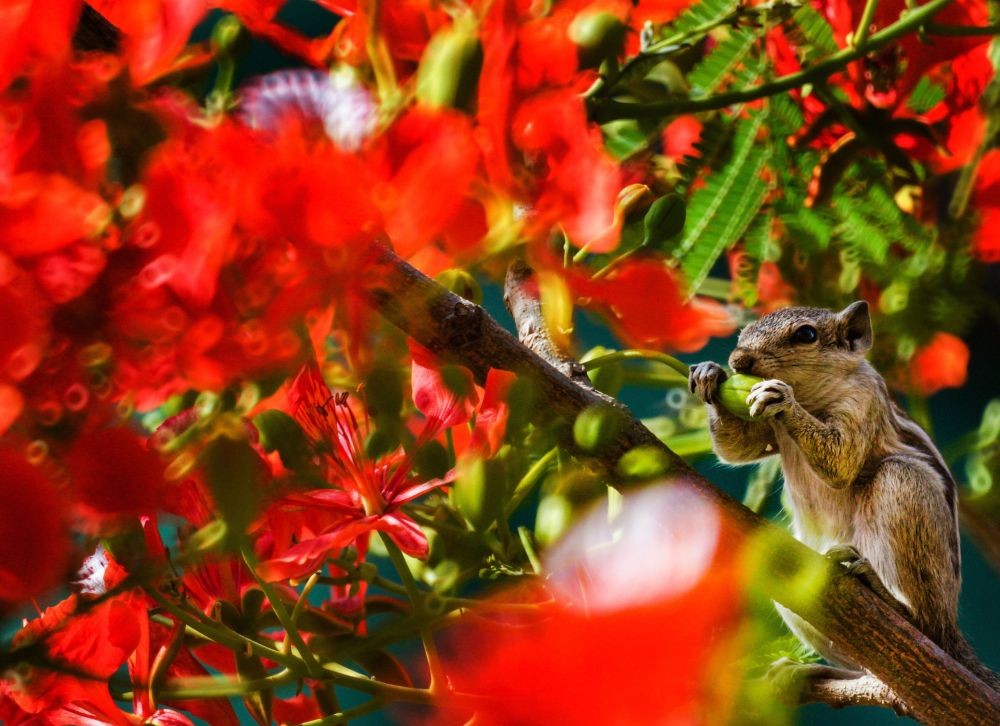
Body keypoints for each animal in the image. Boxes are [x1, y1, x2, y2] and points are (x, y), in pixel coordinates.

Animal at [689, 301, 1000, 701]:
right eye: (744, 331)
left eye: (806, 334)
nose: (738, 360)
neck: (812, 396)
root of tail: (950, 629)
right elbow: (737, 449)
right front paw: (709, 375)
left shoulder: (862, 405)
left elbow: (840, 460)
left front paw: (781, 400)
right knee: (870, 671)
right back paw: (808, 671)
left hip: (904, 487)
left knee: (924, 623)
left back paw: (887, 596)